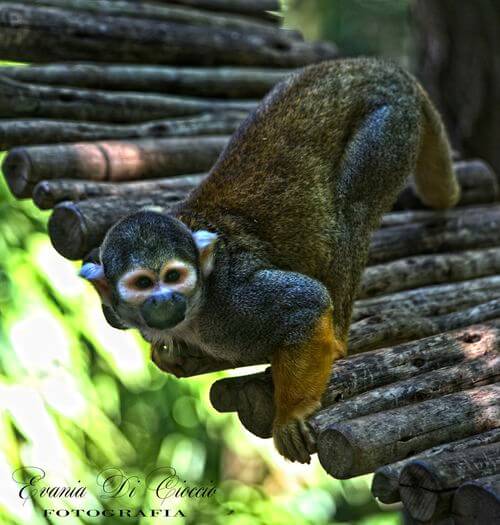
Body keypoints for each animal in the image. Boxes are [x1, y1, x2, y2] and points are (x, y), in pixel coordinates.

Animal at [80, 58, 460, 464]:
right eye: (143, 283)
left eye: (173, 276)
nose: (164, 299)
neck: (199, 308)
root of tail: (375, 67)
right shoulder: (118, 312)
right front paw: (174, 354)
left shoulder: (234, 302)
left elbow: (307, 303)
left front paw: (291, 414)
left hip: (389, 124)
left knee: (350, 215)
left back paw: (338, 338)